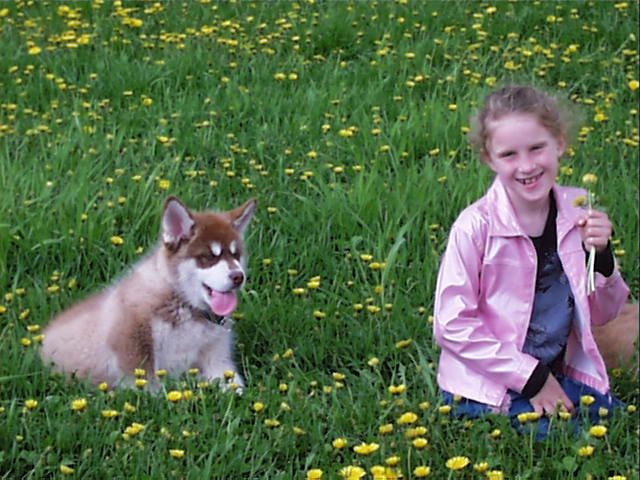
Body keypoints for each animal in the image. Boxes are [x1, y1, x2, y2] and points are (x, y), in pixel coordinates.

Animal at [38, 196, 255, 390]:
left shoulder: (218, 359)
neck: (183, 305)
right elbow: (151, 390)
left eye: (236, 255)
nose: (239, 277)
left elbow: (235, 387)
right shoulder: (131, 344)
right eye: (209, 257)